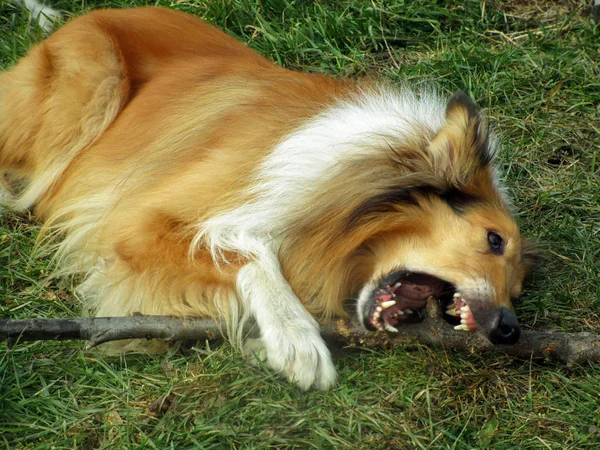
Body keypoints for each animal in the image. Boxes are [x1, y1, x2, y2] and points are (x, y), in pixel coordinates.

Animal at [0, 7, 536, 390]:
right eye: (493, 240)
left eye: (518, 290)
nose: (510, 330)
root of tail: (75, 20)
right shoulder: (140, 220)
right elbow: (250, 255)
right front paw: (294, 337)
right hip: (92, 84)